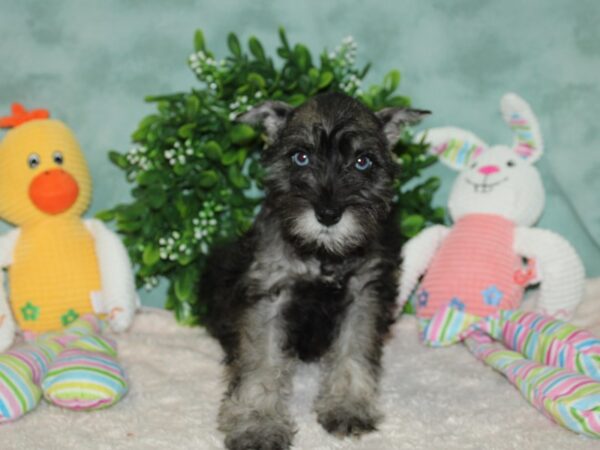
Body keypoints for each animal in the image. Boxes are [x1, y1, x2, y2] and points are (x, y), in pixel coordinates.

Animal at [200, 92, 426, 450]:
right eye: (301, 157)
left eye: (363, 162)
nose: (329, 214)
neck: (323, 253)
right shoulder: (269, 293)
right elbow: (262, 360)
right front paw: (257, 425)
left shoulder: (364, 293)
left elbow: (353, 348)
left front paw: (348, 405)